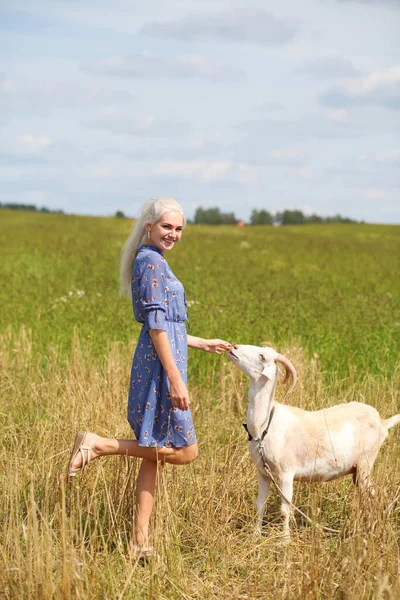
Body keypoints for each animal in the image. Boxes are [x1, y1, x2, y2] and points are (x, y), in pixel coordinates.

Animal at [228, 344, 400, 536]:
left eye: (262, 356)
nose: (233, 347)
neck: (265, 426)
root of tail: (382, 422)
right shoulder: (263, 473)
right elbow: (260, 506)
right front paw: (256, 535)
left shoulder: (286, 473)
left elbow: (284, 510)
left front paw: (284, 539)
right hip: (357, 469)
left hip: (366, 461)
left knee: (374, 494)